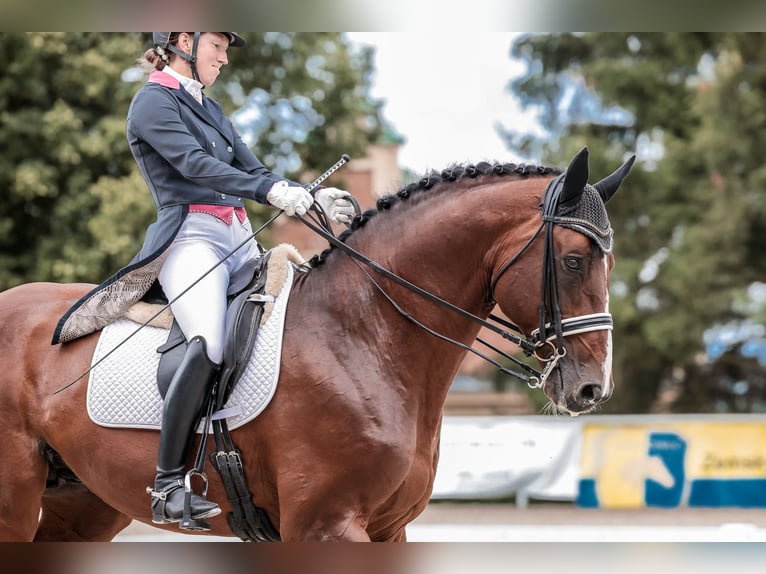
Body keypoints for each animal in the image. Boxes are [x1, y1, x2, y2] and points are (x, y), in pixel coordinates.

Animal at [0, 146, 636, 544]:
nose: (592, 388)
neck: (365, 334)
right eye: (573, 260)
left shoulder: (387, 529)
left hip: (82, 505)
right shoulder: (326, 525)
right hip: (17, 500)